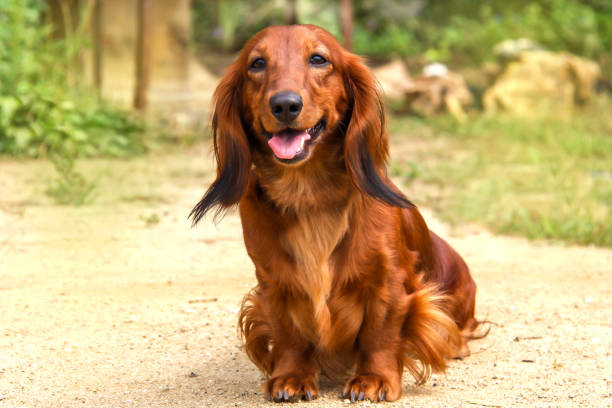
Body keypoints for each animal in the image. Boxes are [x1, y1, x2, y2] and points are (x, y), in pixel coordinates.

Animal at [191, 26, 482, 404]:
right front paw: (291, 376)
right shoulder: (272, 283)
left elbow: (381, 332)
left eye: (318, 59)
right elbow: (288, 333)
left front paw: (374, 378)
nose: (285, 104)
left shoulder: (388, 280)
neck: (308, 194)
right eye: (256, 63)